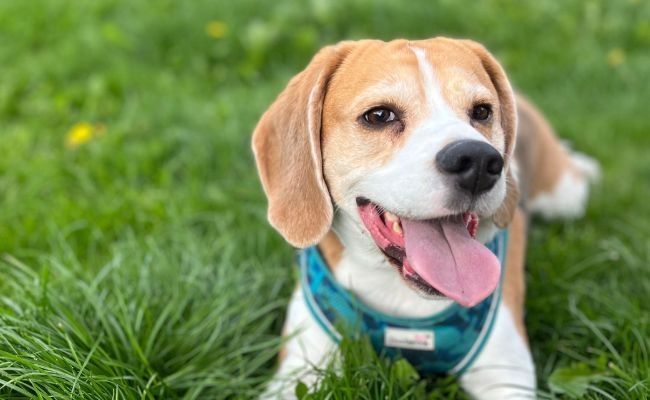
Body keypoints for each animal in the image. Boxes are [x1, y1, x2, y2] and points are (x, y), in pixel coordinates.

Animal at [252, 36, 596, 396]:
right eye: (379, 115)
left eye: (482, 111)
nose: (478, 161)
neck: (399, 295)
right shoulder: (297, 370)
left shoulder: (506, 375)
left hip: (565, 196)